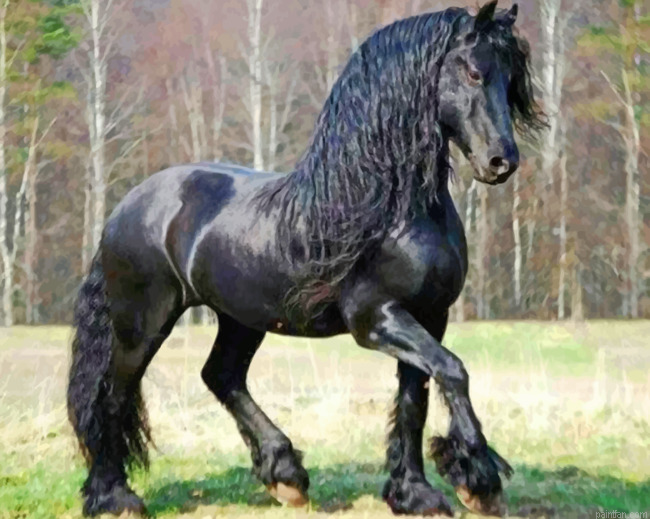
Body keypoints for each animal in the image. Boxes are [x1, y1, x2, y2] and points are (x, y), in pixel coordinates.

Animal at [67, 1, 543, 516]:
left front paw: (415, 492)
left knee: (222, 376)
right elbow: (454, 372)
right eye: (474, 71)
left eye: (512, 80)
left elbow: (415, 398)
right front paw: (479, 479)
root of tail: (127, 206)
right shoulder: (376, 319)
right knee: (112, 398)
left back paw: (285, 475)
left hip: (241, 318)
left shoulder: (430, 317)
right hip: (143, 323)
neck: (387, 208)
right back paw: (114, 496)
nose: (502, 161)